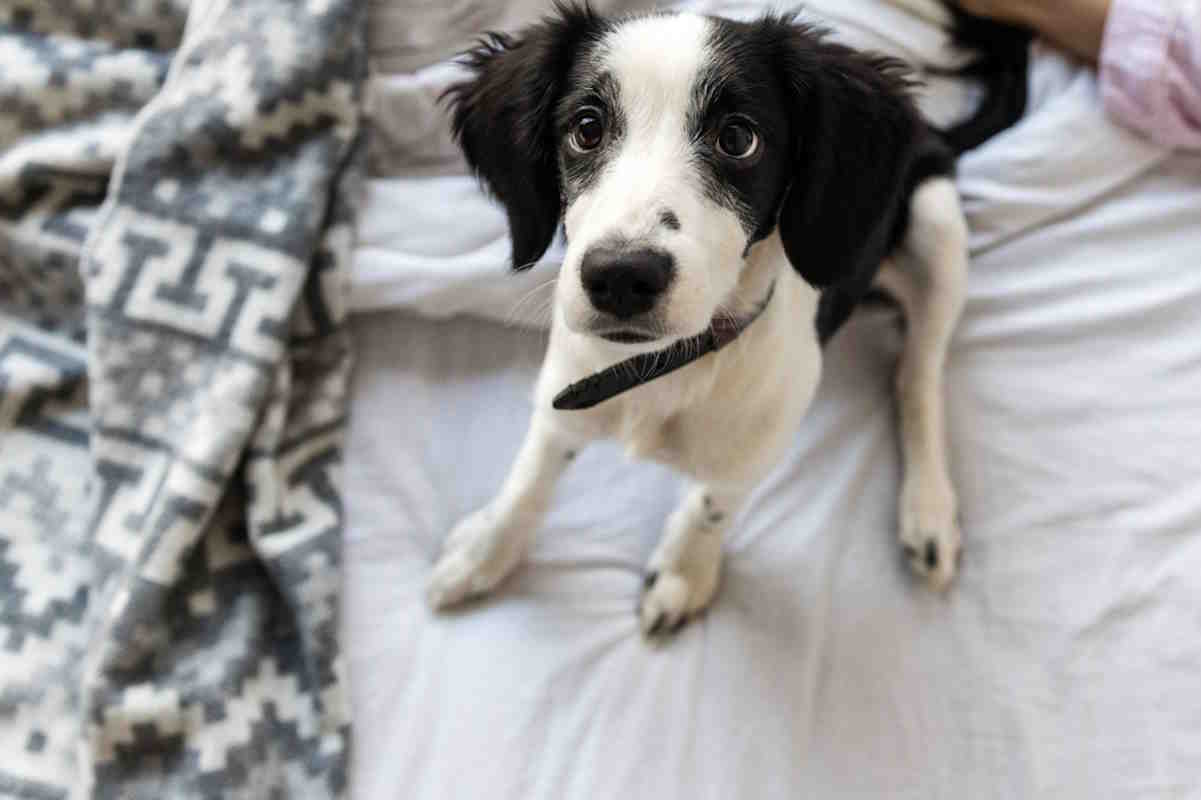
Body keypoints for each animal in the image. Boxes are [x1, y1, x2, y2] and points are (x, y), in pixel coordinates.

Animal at [427, 3, 1028, 634]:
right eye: (586, 128)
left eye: (737, 138)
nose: (621, 276)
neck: (658, 368)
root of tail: (931, 133)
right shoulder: (563, 392)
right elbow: (530, 474)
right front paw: (485, 549)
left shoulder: (755, 449)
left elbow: (712, 504)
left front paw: (683, 571)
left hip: (937, 225)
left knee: (917, 375)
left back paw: (928, 509)